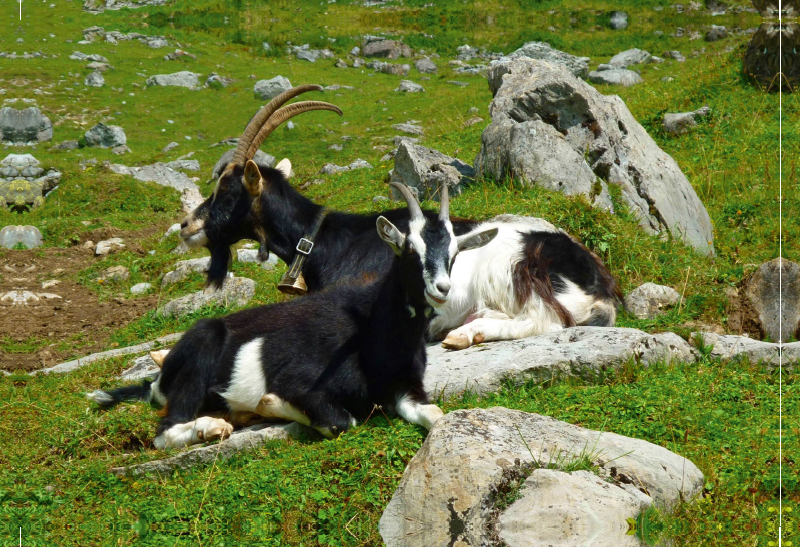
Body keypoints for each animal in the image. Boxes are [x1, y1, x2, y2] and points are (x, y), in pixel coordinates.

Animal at [90, 184, 496, 450]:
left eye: (455, 252)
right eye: (408, 248)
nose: (441, 289)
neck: (372, 329)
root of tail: (159, 378)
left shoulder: (405, 387)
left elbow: (437, 413)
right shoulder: (305, 387)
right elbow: (341, 421)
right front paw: (268, 404)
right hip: (199, 359)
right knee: (165, 432)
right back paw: (214, 426)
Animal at [180, 84, 620, 352]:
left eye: (227, 189)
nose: (186, 226)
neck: (325, 240)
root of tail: (599, 283)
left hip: (511, 268)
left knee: (545, 320)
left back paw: (464, 332)